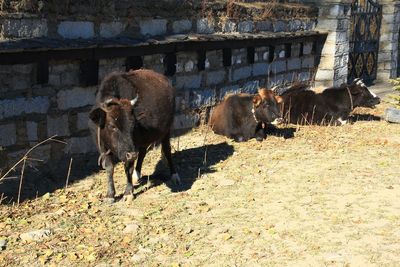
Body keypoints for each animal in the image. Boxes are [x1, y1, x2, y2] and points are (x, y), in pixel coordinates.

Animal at [90, 69, 180, 201]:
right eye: (112, 126)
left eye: (133, 125)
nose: (132, 154)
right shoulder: (102, 146)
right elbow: (109, 168)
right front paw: (110, 195)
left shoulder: (132, 145)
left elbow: (128, 167)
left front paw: (128, 193)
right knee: (142, 152)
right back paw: (137, 175)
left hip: (166, 130)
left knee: (166, 150)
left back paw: (174, 175)